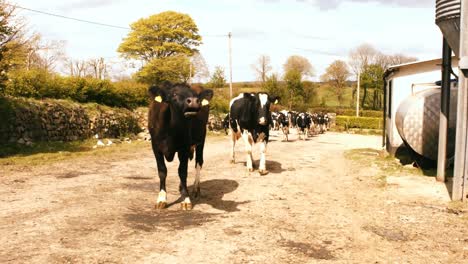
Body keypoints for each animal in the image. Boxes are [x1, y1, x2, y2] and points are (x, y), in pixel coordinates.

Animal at [148, 82, 214, 210]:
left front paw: (186, 199)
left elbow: (183, 172)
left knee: (199, 162)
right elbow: (162, 171)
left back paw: (195, 189)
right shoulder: (155, 147)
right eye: (174, 94)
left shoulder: (184, 147)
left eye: (195, 95)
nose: (194, 101)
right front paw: (161, 199)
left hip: (202, 137)